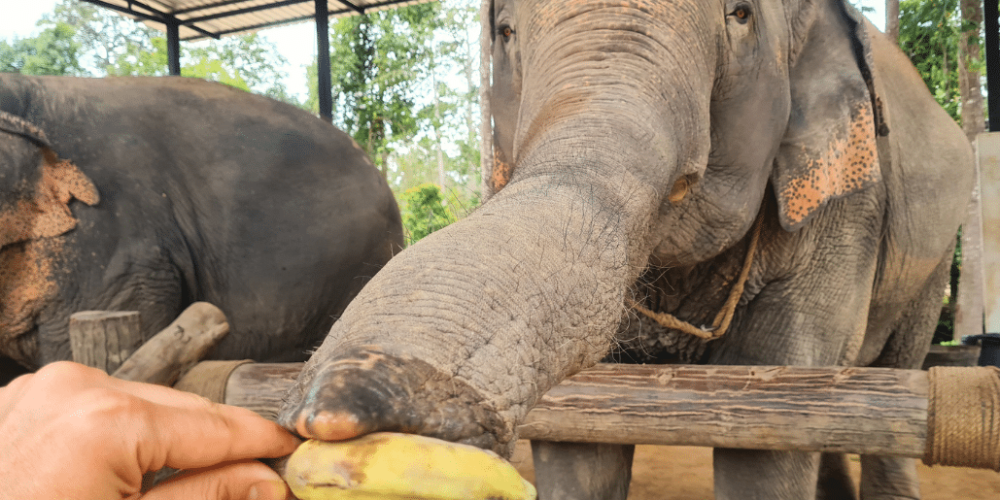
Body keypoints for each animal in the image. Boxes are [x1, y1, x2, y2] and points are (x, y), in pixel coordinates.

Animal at [277, 1, 974, 499]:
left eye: (740, 15)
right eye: (505, 30)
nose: (332, 407)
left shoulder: (847, 205)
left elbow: (774, 418)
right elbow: (579, 435)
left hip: (933, 263)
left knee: (892, 390)